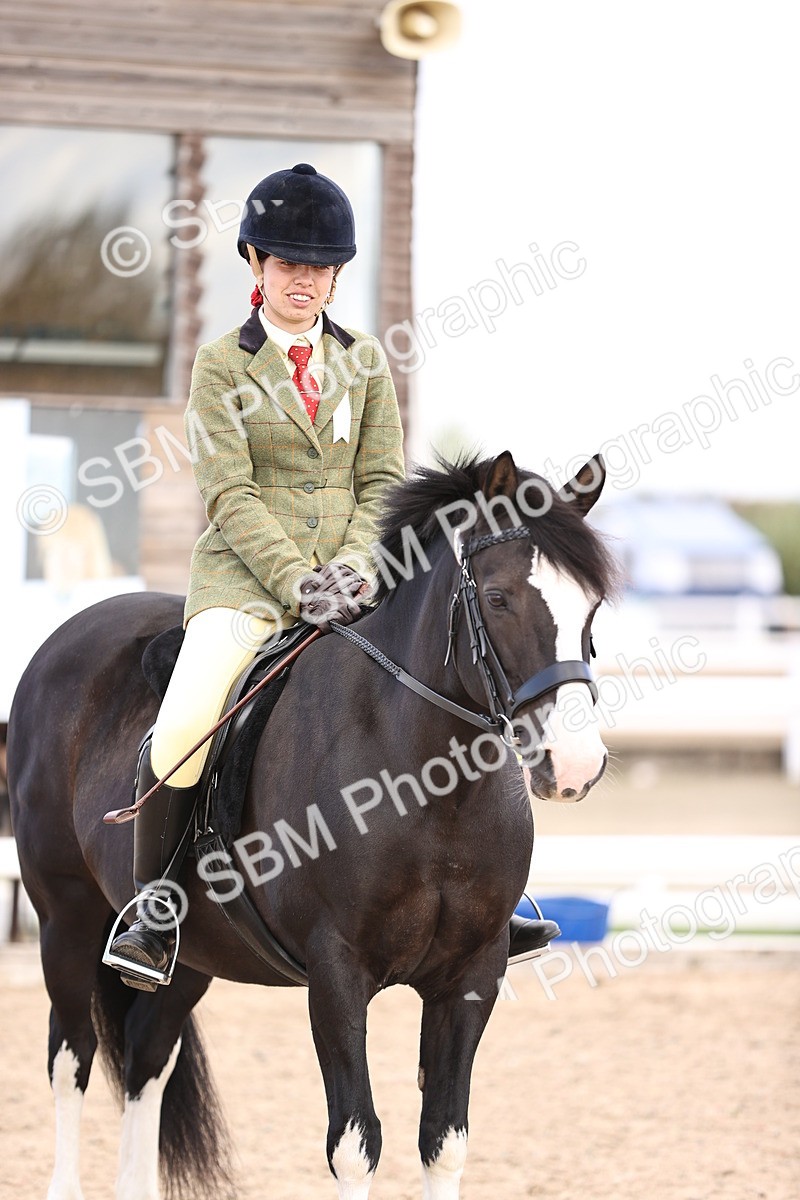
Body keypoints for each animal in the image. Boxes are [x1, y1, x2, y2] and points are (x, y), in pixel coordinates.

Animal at [7, 450, 617, 1200]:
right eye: (499, 597)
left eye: (591, 605)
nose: (576, 765)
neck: (429, 791)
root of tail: (72, 631)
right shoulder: (337, 973)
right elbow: (356, 1143)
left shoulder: (472, 975)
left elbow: (443, 1140)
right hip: (65, 916)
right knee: (72, 1058)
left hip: (195, 955)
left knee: (147, 1061)